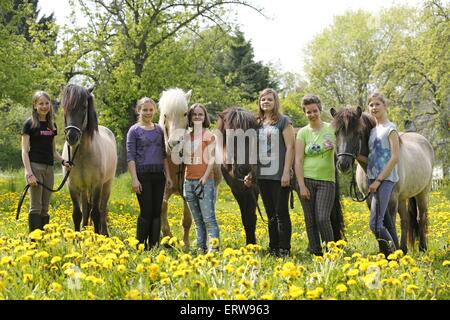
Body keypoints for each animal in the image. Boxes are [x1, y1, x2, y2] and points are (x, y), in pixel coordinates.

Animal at [61, 84, 118, 235]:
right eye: (64, 107)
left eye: (84, 106)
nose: (72, 136)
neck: (80, 155)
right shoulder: (72, 185)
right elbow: (77, 214)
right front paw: (78, 236)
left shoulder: (97, 185)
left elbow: (96, 213)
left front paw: (97, 237)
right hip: (84, 189)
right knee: (86, 209)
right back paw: (86, 229)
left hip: (106, 185)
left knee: (102, 209)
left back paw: (105, 234)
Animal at [332, 107, 434, 252]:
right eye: (336, 133)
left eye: (357, 133)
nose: (343, 164)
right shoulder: (370, 199)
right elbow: (377, 224)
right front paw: (384, 252)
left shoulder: (391, 199)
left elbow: (389, 223)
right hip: (402, 198)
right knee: (405, 220)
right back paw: (403, 249)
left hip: (422, 193)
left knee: (421, 218)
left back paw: (422, 248)